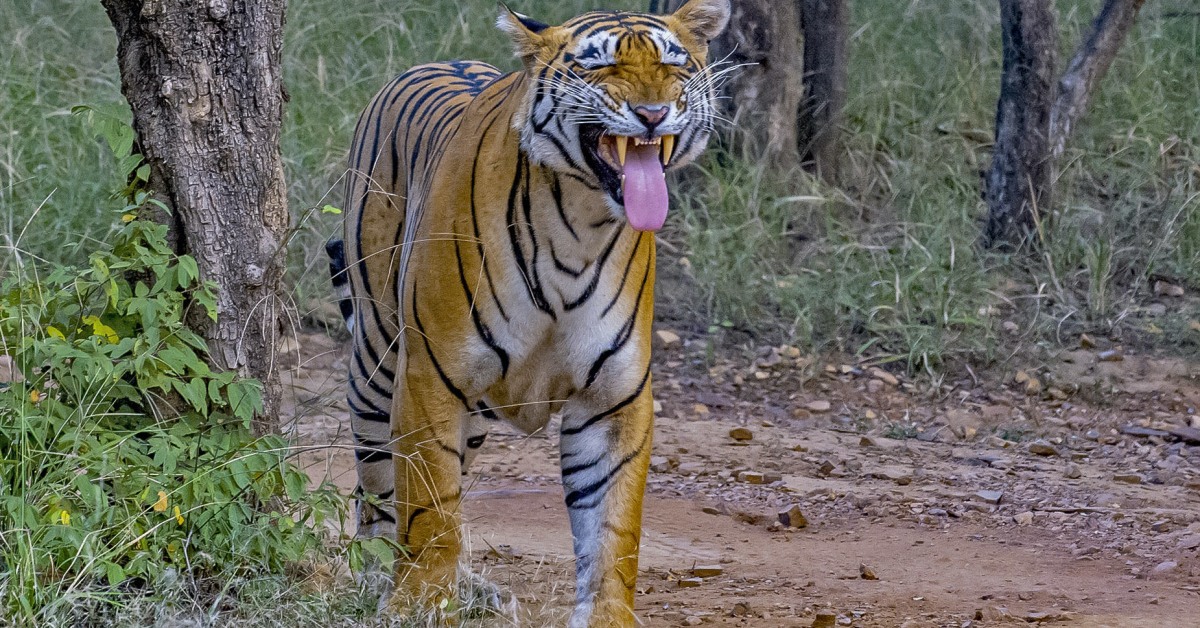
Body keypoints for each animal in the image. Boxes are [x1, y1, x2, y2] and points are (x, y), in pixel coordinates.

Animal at [336, 2, 729, 624]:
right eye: (599, 65)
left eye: (673, 64)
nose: (652, 113)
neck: (580, 225)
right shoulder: (429, 378)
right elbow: (430, 506)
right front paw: (419, 603)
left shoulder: (612, 395)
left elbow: (613, 526)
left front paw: (607, 616)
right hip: (378, 359)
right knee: (377, 489)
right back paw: (376, 575)